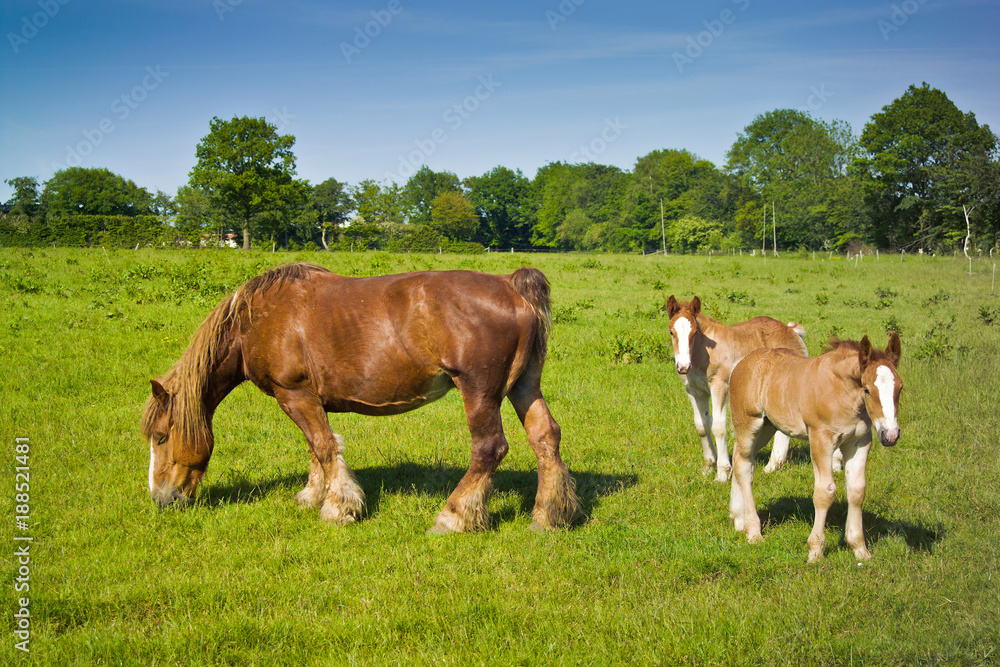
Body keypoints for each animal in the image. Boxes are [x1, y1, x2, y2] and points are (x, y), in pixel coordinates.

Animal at [140, 264, 580, 536]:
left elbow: (323, 446)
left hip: (480, 391)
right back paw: (548, 517)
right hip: (524, 386)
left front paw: (338, 508)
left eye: (161, 437)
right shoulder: (305, 399)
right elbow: (317, 448)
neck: (256, 321)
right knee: (546, 438)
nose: (161, 500)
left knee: (489, 448)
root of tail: (511, 285)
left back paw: (453, 517)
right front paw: (312, 495)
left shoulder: (293, 393)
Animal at [668, 296, 808, 480]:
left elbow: (718, 426)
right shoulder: (694, 391)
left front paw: (722, 472)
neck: (702, 353)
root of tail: (792, 330)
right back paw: (773, 465)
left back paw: (772, 465)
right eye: (671, 332)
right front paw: (708, 466)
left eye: (695, 332)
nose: (683, 367)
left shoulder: (719, 386)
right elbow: (701, 426)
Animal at [728, 334, 908, 564]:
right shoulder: (820, 439)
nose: (890, 434)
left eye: (900, 388)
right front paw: (815, 551)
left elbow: (857, 490)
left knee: (740, 458)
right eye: (867, 389)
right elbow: (825, 492)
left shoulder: (859, 442)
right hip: (749, 424)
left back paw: (738, 519)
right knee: (743, 466)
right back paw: (753, 531)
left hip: (767, 428)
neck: (842, 392)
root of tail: (741, 363)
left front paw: (859, 548)